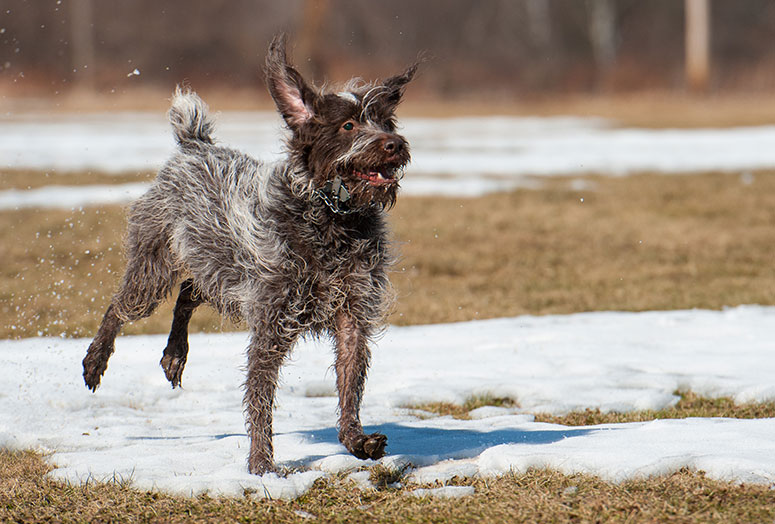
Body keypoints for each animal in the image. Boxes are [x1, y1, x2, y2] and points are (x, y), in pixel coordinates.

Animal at [81, 34, 416, 472]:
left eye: (387, 122)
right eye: (348, 125)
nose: (394, 144)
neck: (330, 218)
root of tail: (195, 145)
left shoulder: (352, 315)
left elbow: (349, 384)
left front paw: (354, 440)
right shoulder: (272, 321)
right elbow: (260, 397)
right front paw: (261, 465)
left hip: (219, 271)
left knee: (188, 292)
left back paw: (174, 354)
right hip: (155, 271)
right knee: (120, 308)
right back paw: (96, 359)